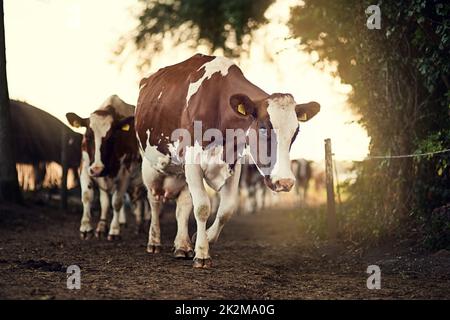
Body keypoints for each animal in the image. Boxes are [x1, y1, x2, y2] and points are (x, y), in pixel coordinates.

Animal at [65, 95, 144, 240]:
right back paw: (102, 226)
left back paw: (139, 225)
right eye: (88, 136)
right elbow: (88, 196)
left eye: (111, 137)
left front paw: (114, 230)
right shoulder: (85, 167)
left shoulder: (125, 173)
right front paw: (86, 228)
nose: (98, 169)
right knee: (106, 200)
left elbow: (117, 202)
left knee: (140, 200)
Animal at [134, 53, 320, 266]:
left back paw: (182, 245)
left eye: (295, 132)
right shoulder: (192, 160)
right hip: (150, 165)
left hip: (181, 173)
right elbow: (203, 207)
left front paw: (202, 237)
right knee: (154, 199)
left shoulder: (233, 163)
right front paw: (202, 253)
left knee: (183, 205)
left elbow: (226, 209)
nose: (285, 182)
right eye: (263, 128)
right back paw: (154, 242)